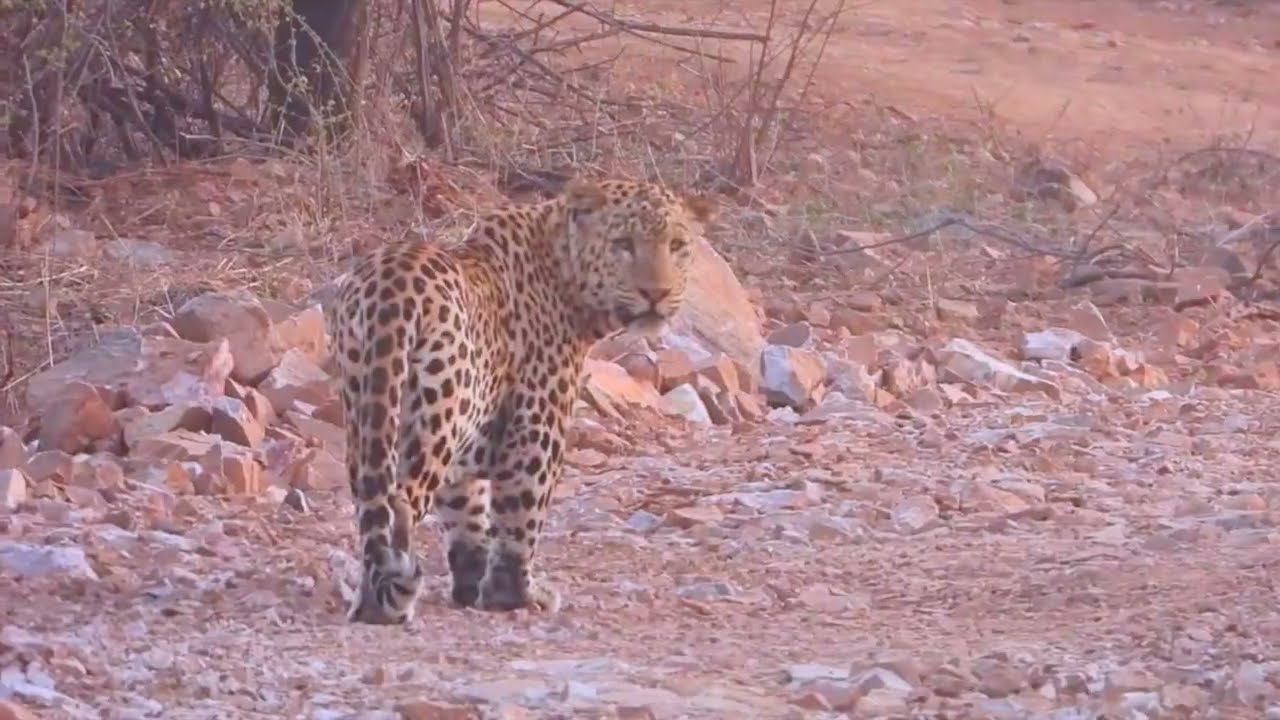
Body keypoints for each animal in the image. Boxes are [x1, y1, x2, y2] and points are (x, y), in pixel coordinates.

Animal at [325, 177, 717, 624]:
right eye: (623, 244)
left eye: (677, 245)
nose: (656, 293)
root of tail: (391, 286)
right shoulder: (537, 422)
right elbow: (521, 513)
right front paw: (515, 595)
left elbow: (467, 513)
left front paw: (471, 585)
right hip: (437, 410)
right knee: (403, 501)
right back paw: (391, 597)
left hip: (365, 406)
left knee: (372, 505)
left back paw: (371, 600)